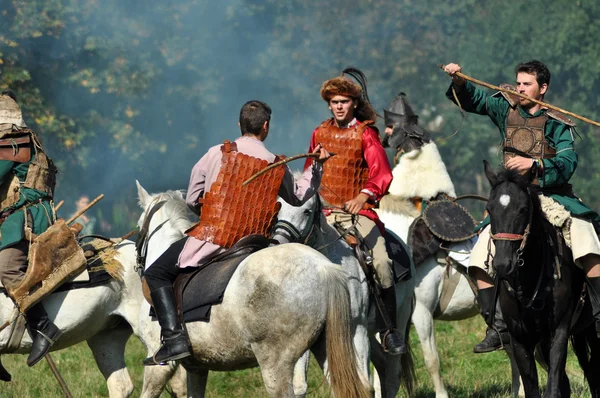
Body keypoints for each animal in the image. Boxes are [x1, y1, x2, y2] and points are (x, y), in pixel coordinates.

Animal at [136, 183, 372, 398]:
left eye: (139, 226)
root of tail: (323, 267)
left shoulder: (160, 367)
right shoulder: (197, 368)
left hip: (276, 365)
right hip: (338, 343)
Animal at [276, 195, 418, 398]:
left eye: (307, 211)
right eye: (278, 207)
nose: (278, 242)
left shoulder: (356, 329)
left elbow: (364, 386)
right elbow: (300, 386)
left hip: (399, 318)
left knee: (392, 375)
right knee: (382, 366)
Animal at [486, 160, 596, 396]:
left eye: (523, 209)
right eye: (489, 209)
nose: (502, 264)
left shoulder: (559, 333)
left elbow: (553, 387)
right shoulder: (521, 340)